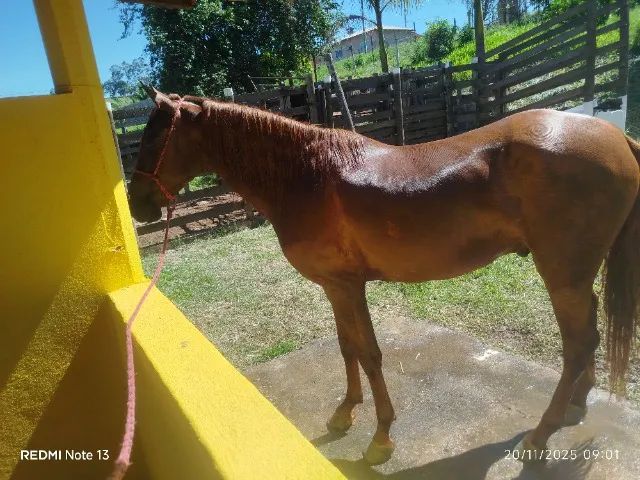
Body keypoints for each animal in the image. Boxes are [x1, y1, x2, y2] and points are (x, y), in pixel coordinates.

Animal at [128, 86, 640, 465]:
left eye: (153, 140)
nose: (137, 206)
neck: (306, 176)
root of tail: (617, 140)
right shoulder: (336, 286)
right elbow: (347, 347)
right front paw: (344, 414)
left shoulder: (348, 286)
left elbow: (371, 354)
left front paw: (380, 439)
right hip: (576, 275)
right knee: (590, 333)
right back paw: (577, 403)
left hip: (562, 276)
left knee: (577, 344)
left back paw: (541, 434)